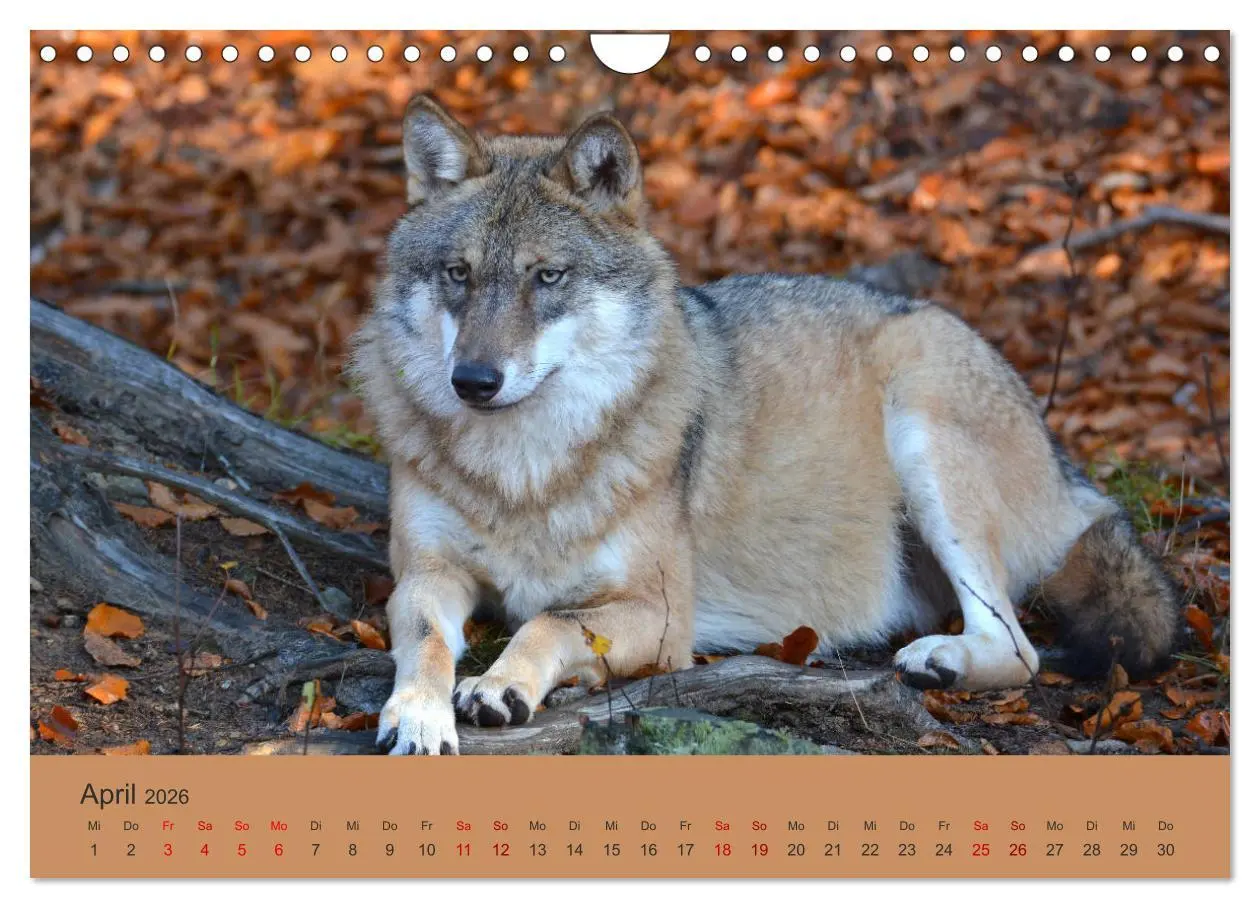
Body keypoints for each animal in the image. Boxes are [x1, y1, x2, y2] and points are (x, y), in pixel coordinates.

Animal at [350, 95, 1180, 755]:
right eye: (458, 275)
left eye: (546, 277)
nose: (473, 381)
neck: (524, 472)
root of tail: (1065, 466)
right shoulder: (426, 575)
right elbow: (425, 643)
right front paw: (417, 714)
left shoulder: (663, 615)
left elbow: (546, 623)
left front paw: (499, 688)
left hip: (922, 418)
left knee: (1020, 648)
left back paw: (940, 660)